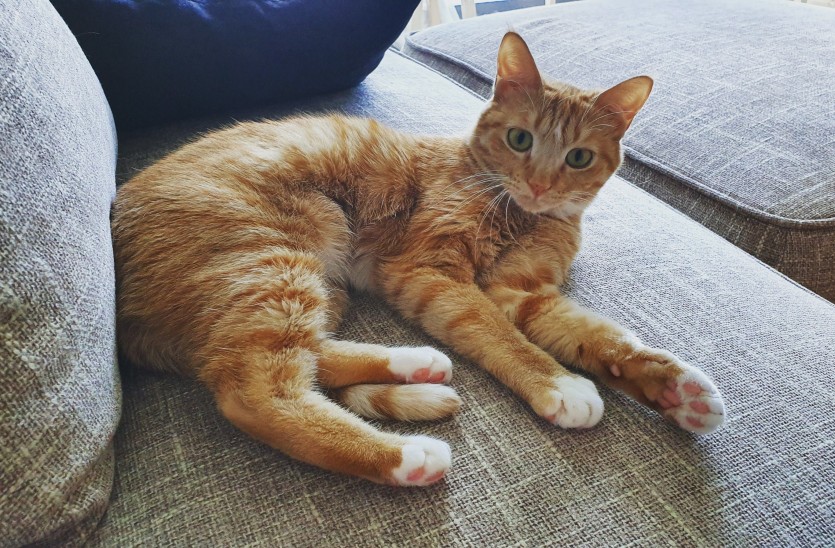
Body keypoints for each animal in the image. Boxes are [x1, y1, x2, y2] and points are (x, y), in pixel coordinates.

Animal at [112, 32, 725, 487]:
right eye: (520, 140)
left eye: (577, 158)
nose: (540, 185)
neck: (518, 211)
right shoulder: (431, 271)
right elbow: (498, 334)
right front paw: (560, 384)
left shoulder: (523, 292)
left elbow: (597, 335)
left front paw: (671, 387)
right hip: (275, 262)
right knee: (255, 390)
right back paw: (405, 456)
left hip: (313, 283)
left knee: (303, 353)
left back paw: (413, 366)